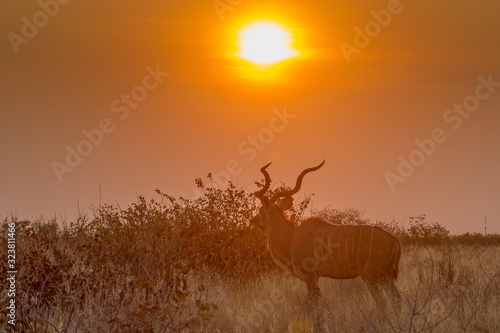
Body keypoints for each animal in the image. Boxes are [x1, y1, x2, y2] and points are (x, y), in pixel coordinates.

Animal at [252, 160, 400, 308]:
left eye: (260, 210)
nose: (253, 219)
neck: (291, 237)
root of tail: (393, 239)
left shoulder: (310, 276)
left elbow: (313, 304)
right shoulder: (315, 277)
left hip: (371, 275)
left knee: (381, 301)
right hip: (385, 275)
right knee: (396, 298)